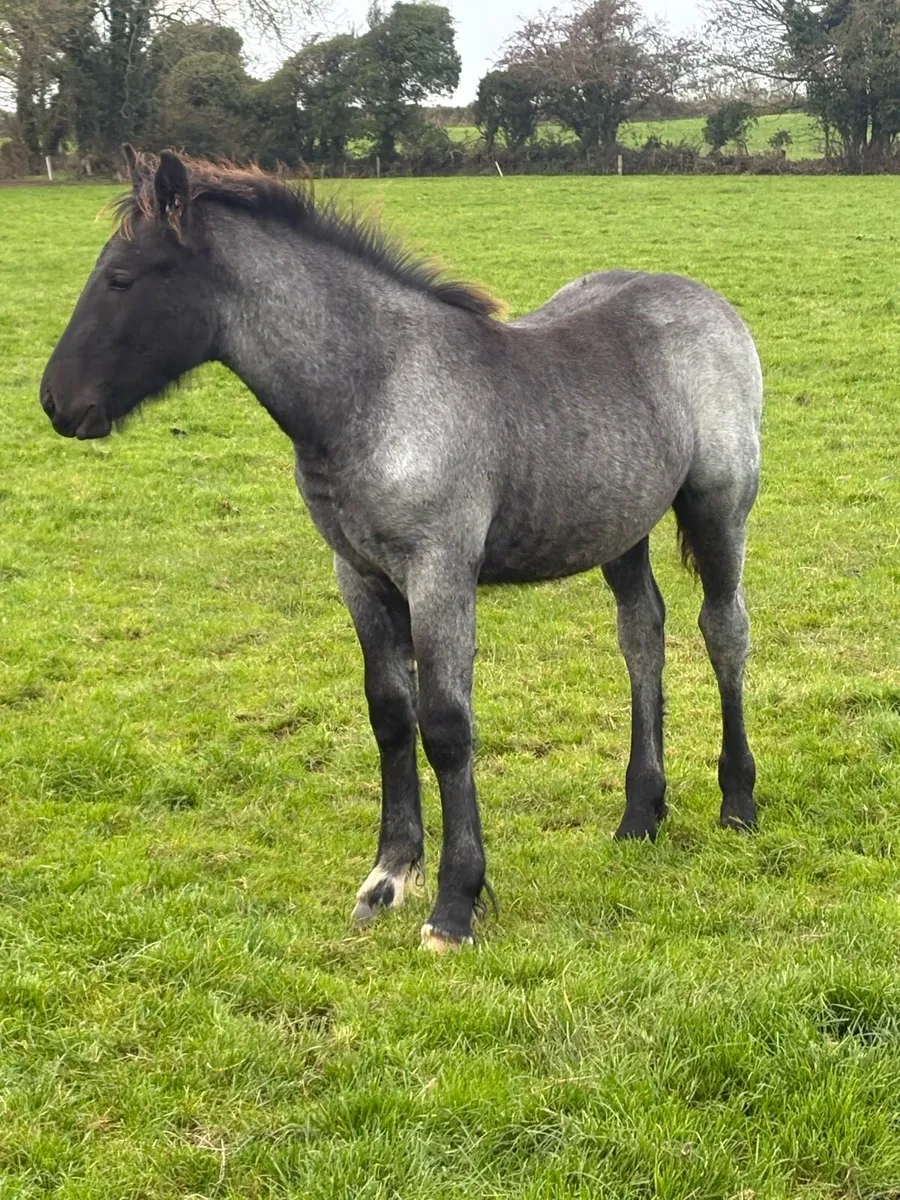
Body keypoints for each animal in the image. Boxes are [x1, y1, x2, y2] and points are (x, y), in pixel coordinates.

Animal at [40, 148, 762, 951]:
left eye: (121, 278)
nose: (56, 402)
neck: (375, 390)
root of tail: (705, 299)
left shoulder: (439, 573)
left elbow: (446, 726)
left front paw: (454, 904)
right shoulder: (359, 575)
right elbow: (390, 714)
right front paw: (388, 875)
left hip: (720, 504)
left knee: (724, 629)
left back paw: (737, 802)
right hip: (620, 528)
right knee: (642, 635)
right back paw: (640, 814)